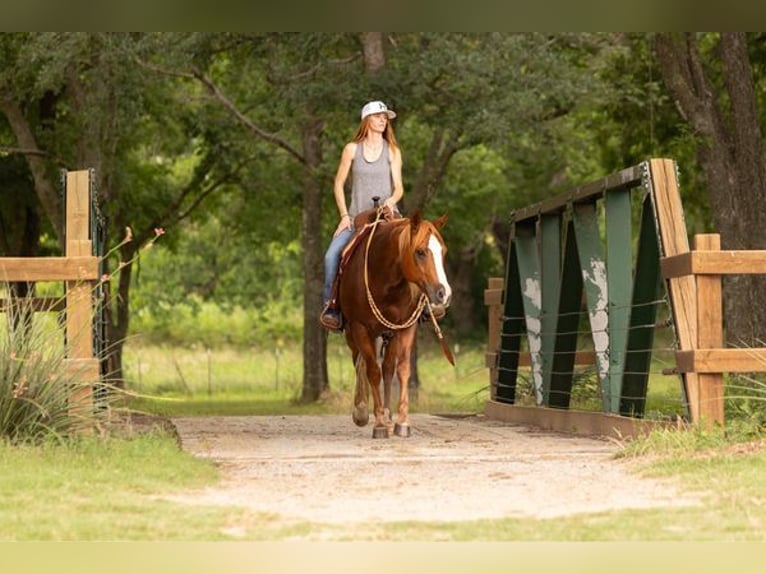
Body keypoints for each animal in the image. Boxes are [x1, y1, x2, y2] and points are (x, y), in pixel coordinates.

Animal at [337, 208, 452, 438]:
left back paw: (388, 416)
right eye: (420, 252)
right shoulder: (360, 328)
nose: (444, 293)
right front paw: (379, 424)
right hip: (354, 334)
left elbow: (402, 369)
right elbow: (372, 371)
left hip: (389, 334)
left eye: (442, 251)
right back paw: (363, 411)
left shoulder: (406, 327)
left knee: (388, 368)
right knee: (360, 362)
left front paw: (401, 422)